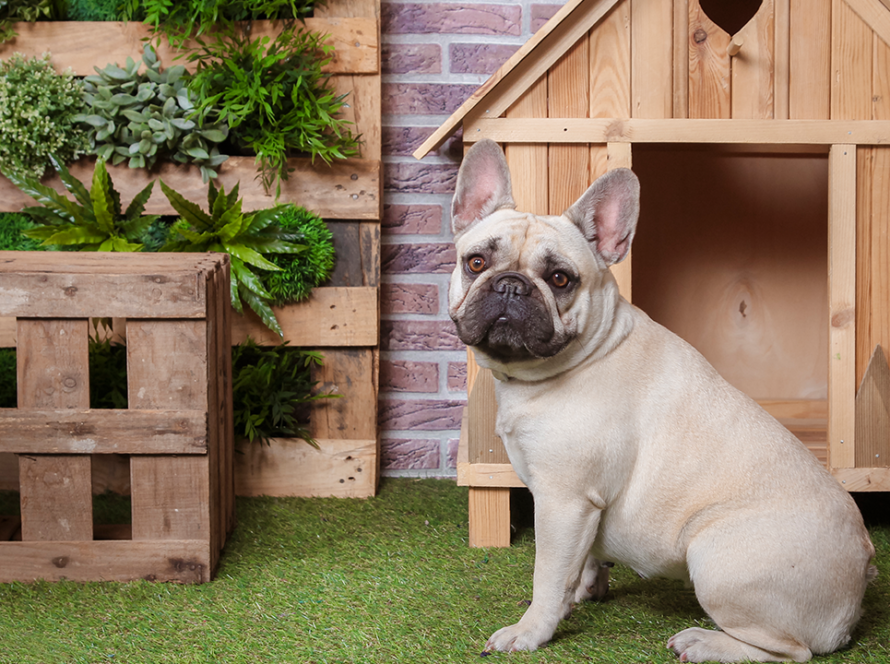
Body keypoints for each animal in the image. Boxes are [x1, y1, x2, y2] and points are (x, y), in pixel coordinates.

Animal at [448, 137, 872, 660]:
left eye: (561, 279)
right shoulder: (583, 510)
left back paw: (706, 642)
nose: (511, 285)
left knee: (791, 650)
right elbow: (583, 558)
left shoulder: (564, 500)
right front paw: (583, 592)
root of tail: (862, 571)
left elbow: (547, 573)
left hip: (714, 557)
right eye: (476, 263)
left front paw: (531, 630)